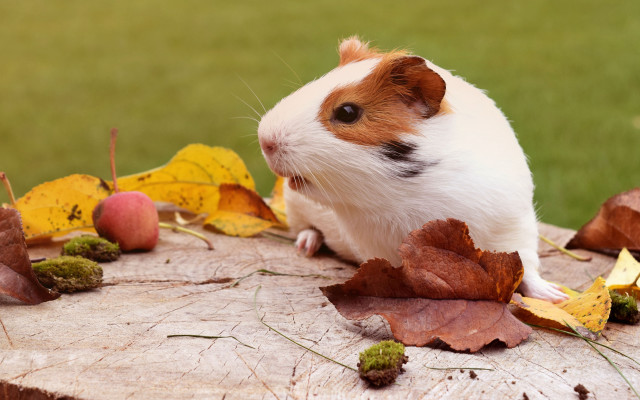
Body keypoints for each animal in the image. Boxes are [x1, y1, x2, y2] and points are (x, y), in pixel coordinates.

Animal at [257, 37, 568, 303]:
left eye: (347, 112)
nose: (265, 140)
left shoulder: (516, 225)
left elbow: (526, 267)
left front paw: (556, 297)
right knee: (305, 229)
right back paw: (305, 247)